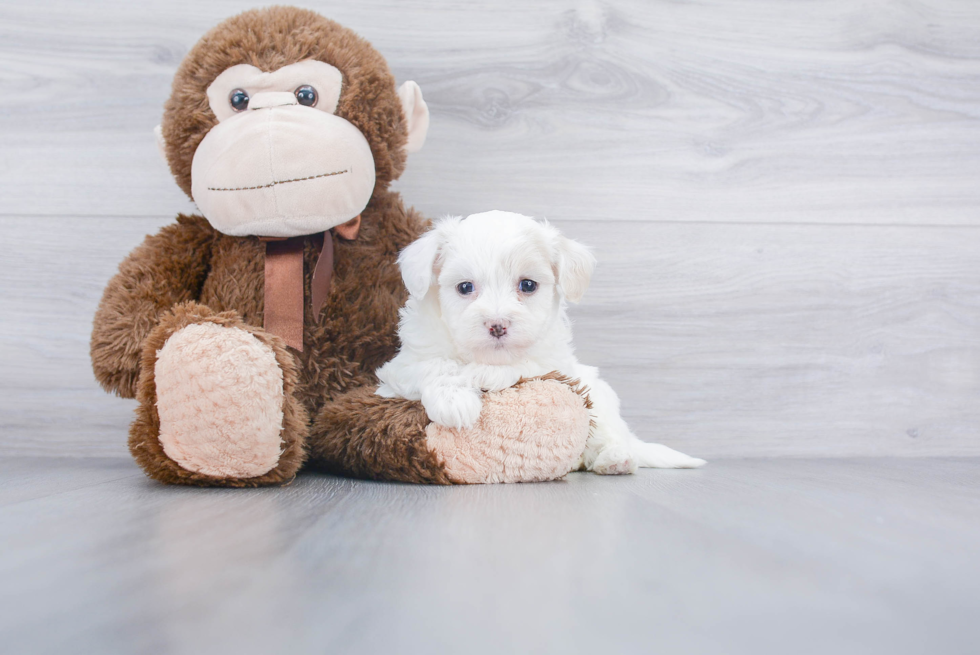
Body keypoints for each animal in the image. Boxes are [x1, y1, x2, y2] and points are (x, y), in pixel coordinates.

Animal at [376, 213, 704, 474]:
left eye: (528, 285)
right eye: (465, 287)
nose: (497, 325)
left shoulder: (556, 364)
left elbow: (524, 365)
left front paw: (485, 374)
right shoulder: (401, 367)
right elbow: (436, 365)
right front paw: (453, 401)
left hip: (601, 400)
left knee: (609, 436)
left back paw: (616, 459)